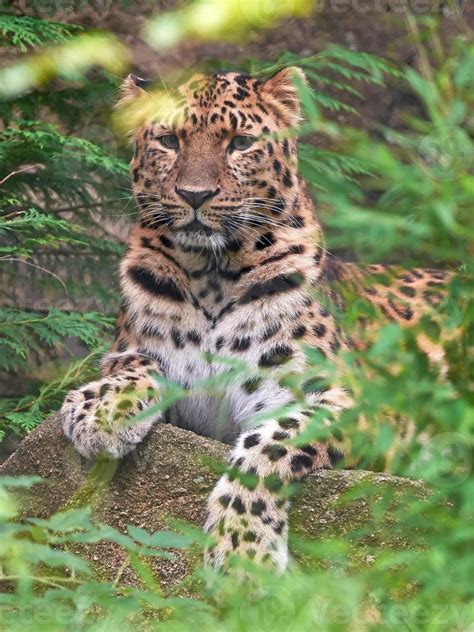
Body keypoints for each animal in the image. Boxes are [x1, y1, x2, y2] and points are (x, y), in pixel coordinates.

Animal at [60, 66, 456, 572]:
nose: (194, 195)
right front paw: (100, 410)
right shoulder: (133, 350)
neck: (212, 275)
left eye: (240, 143)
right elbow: (133, 365)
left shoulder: (359, 403)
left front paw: (242, 549)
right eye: (168, 140)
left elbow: (271, 442)